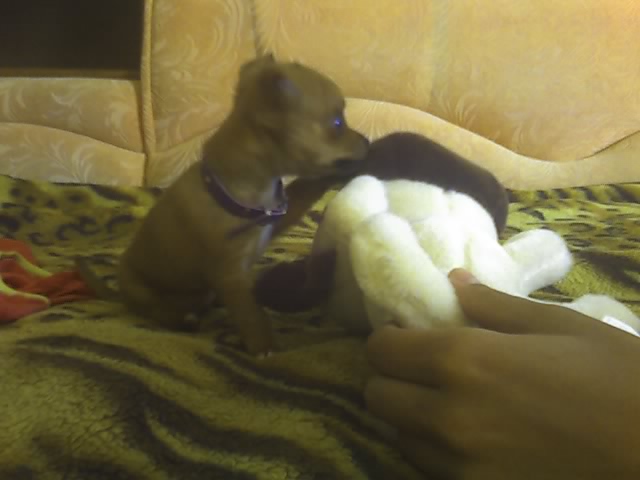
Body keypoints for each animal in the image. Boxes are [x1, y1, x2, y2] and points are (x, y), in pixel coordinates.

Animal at [76, 54, 370, 356]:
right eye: (337, 123)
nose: (368, 141)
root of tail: (120, 294)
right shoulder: (232, 274)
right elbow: (251, 316)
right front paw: (265, 348)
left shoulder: (277, 219)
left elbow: (307, 187)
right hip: (140, 288)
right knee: (155, 311)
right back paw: (182, 319)